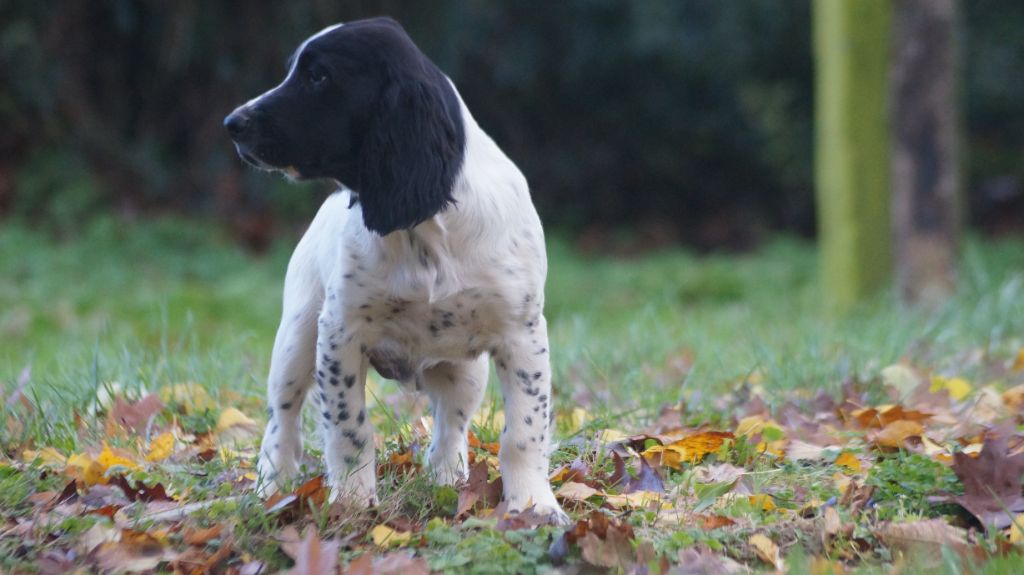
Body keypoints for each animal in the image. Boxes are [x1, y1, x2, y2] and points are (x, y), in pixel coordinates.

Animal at [222, 16, 569, 519]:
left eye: (319, 77)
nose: (232, 123)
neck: (425, 231)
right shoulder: (340, 332)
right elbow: (348, 428)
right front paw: (351, 502)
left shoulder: (521, 334)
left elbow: (524, 431)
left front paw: (533, 505)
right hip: (296, 337)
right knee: (282, 418)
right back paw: (272, 486)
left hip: (467, 373)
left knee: (450, 423)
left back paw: (447, 479)